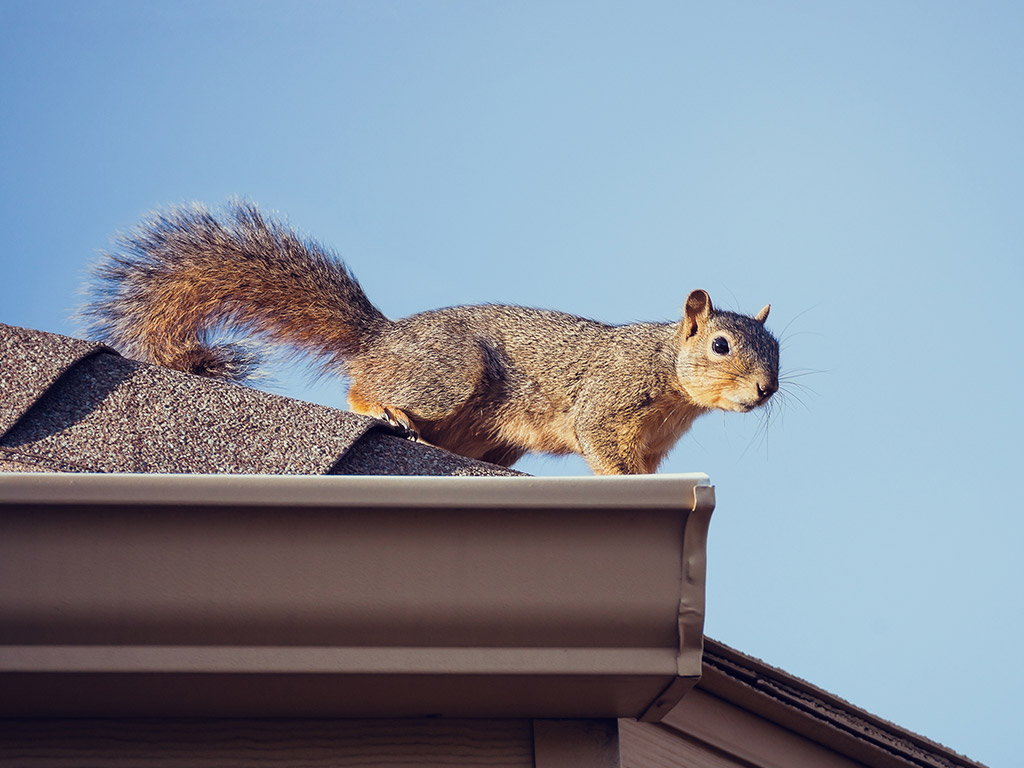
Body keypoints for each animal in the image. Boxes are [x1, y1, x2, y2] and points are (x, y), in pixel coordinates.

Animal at [80, 200, 780, 475]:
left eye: (778, 351)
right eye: (721, 345)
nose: (766, 390)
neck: (670, 376)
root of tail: (384, 338)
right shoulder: (608, 400)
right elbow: (600, 443)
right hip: (448, 375)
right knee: (361, 387)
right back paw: (384, 408)